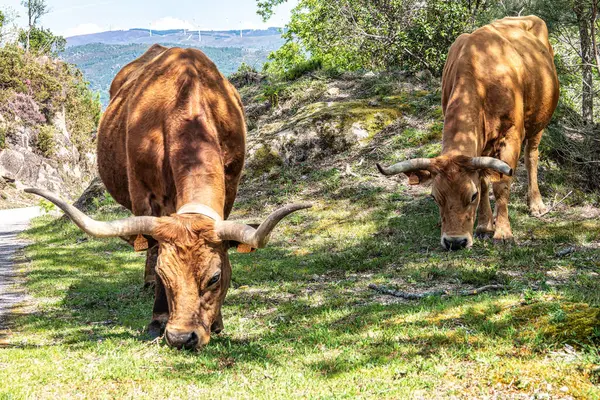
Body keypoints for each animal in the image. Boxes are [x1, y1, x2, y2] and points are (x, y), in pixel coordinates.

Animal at [26, 44, 312, 350]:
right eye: (166, 273)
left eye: (214, 277)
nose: (181, 337)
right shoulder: (145, 197)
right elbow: (153, 249)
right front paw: (157, 319)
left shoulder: (230, 189)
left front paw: (218, 322)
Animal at [378, 17, 560, 252]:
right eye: (435, 197)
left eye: (471, 196)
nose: (454, 241)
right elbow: (483, 182)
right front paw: (484, 225)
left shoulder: (511, 136)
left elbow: (501, 185)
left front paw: (503, 232)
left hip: (538, 123)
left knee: (531, 157)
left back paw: (536, 204)